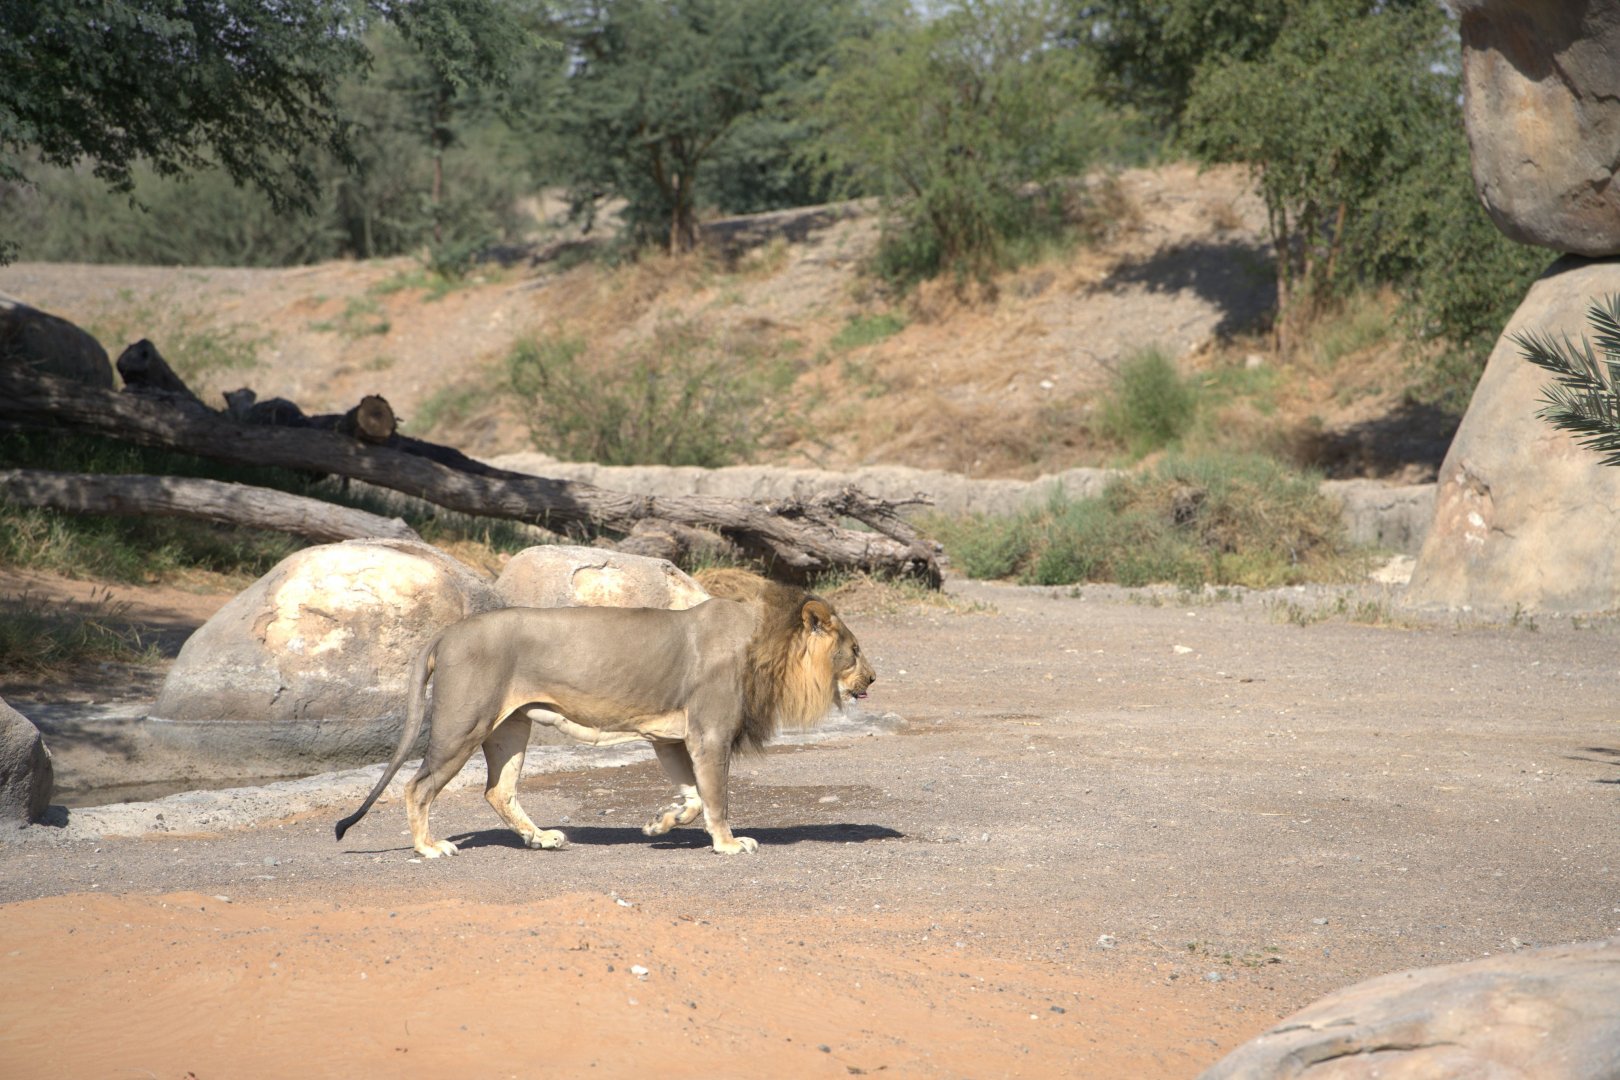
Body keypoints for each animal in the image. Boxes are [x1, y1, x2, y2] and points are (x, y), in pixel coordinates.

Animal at [334, 578, 875, 858]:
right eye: (854, 650)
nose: (873, 678)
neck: (768, 647)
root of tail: (448, 631)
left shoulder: (670, 738)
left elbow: (693, 796)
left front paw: (660, 825)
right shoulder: (710, 733)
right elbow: (717, 797)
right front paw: (728, 844)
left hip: (510, 726)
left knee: (498, 790)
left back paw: (541, 838)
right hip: (463, 724)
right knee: (417, 786)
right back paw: (429, 847)